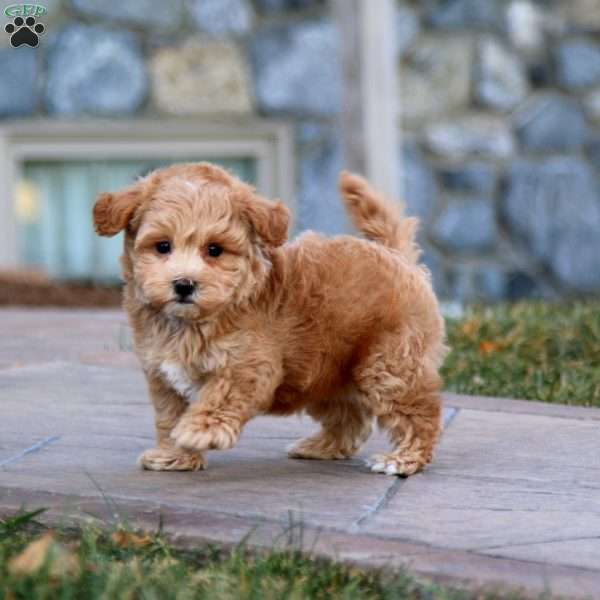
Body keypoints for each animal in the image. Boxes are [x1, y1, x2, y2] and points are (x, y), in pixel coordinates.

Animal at [94, 162, 448, 476]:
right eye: (163, 246)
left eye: (214, 250)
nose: (184, 284)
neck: (193, 321)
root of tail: (396, 257)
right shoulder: (163, 376)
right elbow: (169, 416)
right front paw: (174, 455)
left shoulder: (247, 365)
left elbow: (218, 395)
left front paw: (199, 430)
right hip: (327, 370)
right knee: (349, 417)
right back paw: (321, 447)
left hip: (389, 364)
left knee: (419, 412)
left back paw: (403, 460)